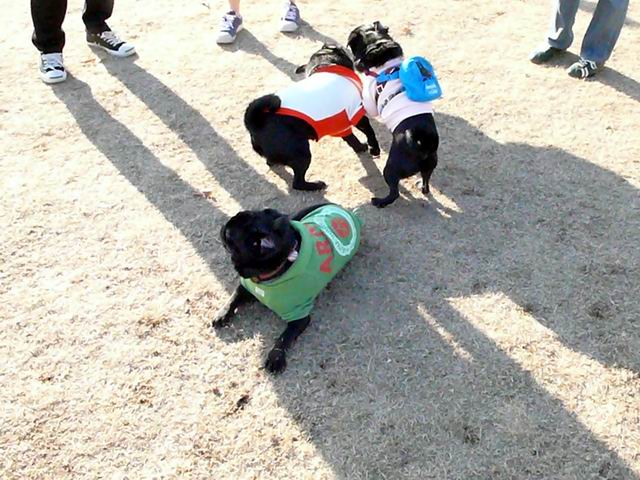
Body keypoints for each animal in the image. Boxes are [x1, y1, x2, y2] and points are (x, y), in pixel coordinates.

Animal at [215, 203, 362, 374]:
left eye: (228, 235)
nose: (223, 226)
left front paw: (275, 357)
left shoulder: (299, 316)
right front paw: (222, 313)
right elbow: (233, 299)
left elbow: (284, 337)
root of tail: (341, 208)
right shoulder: (245, 287)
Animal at [244, 43, 380, 191]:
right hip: (301, 152)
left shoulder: (340, 122)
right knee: (297, 182)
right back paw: (316, 185)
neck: (325, 65)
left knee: (271, 162)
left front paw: (359, 147)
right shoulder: (356, 113)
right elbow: (370, 132)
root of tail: (256, 123)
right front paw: (374, 149)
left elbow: (351, 138)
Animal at [347, 22, 440, 208]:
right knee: (426, 181)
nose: (355, 62)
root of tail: (422, 143)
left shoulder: (369, 101)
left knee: (394, 193)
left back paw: (379, 201)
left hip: (390, 169)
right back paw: (422, 187)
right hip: (430, 166)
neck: (376, 44)